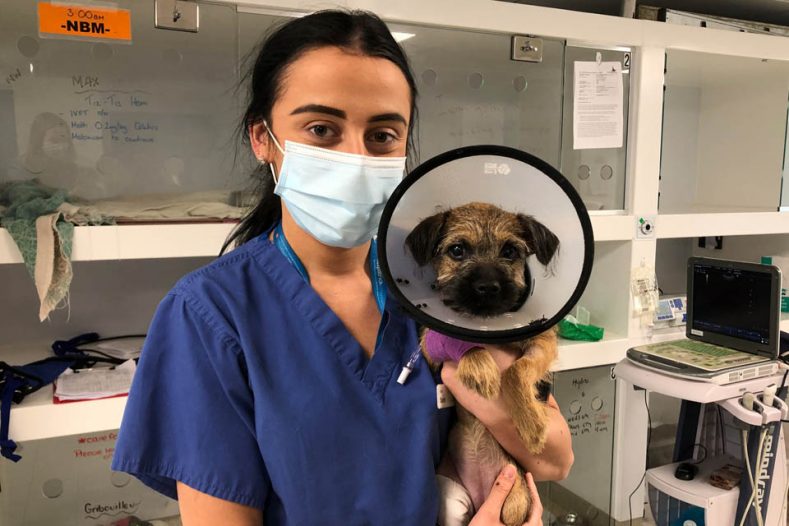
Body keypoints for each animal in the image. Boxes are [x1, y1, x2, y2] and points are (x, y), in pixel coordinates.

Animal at [406, 202, 560, 526]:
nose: (487, 287)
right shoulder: (428, 345)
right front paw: (478, 364)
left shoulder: (544, 342)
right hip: (451, 498)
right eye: (457, 250)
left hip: (514, 502)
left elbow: (516, 370)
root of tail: (479, 499)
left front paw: (531, 424)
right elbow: (452, 338)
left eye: (510, 251)